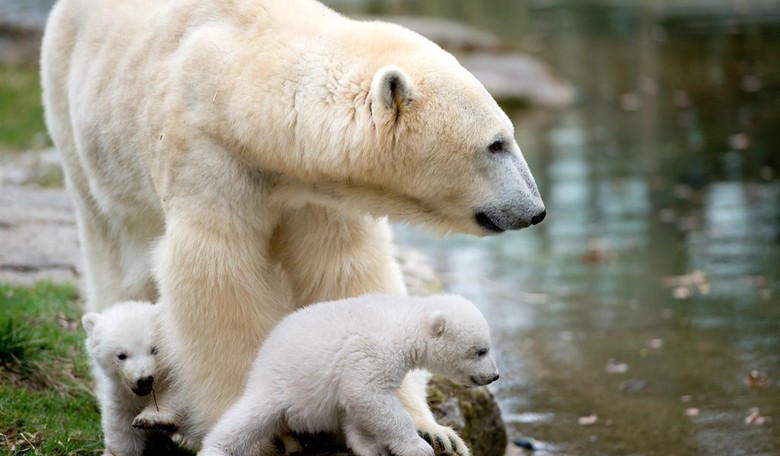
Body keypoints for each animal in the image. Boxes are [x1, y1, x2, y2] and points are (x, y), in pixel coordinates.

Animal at [82, 300, 178, 456]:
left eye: (154, 350)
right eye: (121, 355)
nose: (144, 379)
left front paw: (155, 419)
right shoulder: (120, 393)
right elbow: (121, 425)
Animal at [198, 294, 499, 456]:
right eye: (480, 351)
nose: (494, 376)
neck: (404, 322)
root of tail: (262, 357)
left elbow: (359, 404)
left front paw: (374, 446)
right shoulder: (371, 352)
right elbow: (369, 396)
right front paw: (417, 446)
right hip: (278, 384)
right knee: (246, 419)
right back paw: (216, 448)